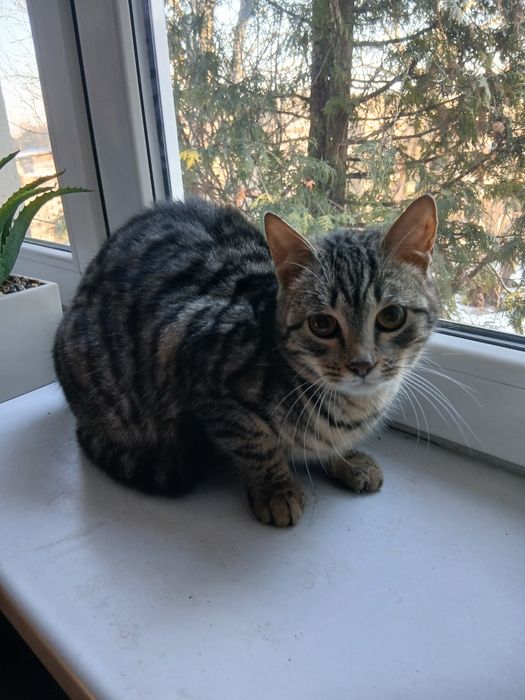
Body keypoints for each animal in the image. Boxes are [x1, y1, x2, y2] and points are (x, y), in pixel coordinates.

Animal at [54, 194, 439, 527]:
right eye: (322, 324)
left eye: (391, 316)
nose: (361, 365)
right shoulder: (198, 371)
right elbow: (255, 443)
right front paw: (276, 489)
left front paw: (346, 459)